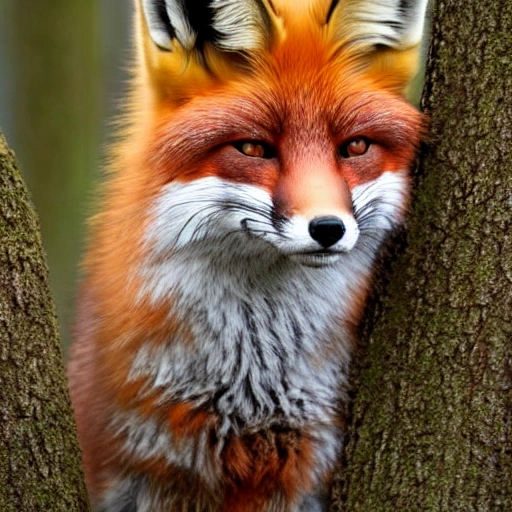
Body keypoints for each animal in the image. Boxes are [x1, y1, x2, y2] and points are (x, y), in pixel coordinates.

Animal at [67, 0, 428, 510]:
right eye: (254, 148)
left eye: (355, 146)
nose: (328, 229)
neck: (252, 390)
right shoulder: (141, 472)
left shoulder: (306, 471)